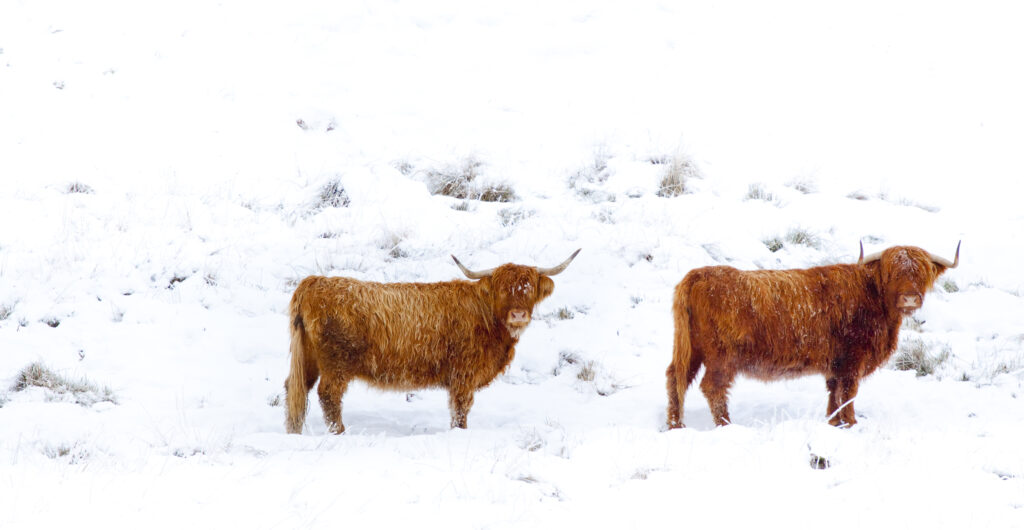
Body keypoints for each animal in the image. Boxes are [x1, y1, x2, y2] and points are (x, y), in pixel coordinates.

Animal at [284, 249, 581, 434]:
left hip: (308, 359)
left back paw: (293, 431)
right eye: (501, 289)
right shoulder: (463, 375)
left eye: (528, 287)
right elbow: (460, 410)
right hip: (336, 364)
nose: (518, 314)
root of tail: (314, 282)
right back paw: (340, 432)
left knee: (295, 389)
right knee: (328, 395)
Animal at [666, 242, 960, 429]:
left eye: (922, 273)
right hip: (721, 356)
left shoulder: (836, 362)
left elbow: (833, 391)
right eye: (892, 273)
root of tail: (699, 274)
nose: (910, 298)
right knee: (713, 387)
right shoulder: (852, 359)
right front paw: (851, 423)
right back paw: (726, 426)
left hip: (690, 349)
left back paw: (675, 424)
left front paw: (834, 421)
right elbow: (848, 391)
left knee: (676, 379)